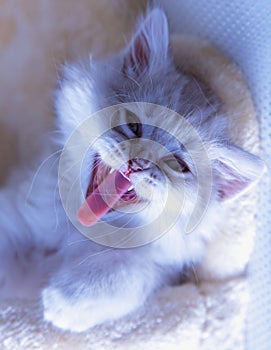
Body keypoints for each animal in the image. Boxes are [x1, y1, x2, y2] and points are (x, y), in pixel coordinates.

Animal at [0, 7, 264, 330]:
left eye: (177, 165)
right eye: (134, 126)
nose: (139, 164)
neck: (76, 230)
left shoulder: (156, 267)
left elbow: (125, 277)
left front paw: (61, 304)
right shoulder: (18, 214)